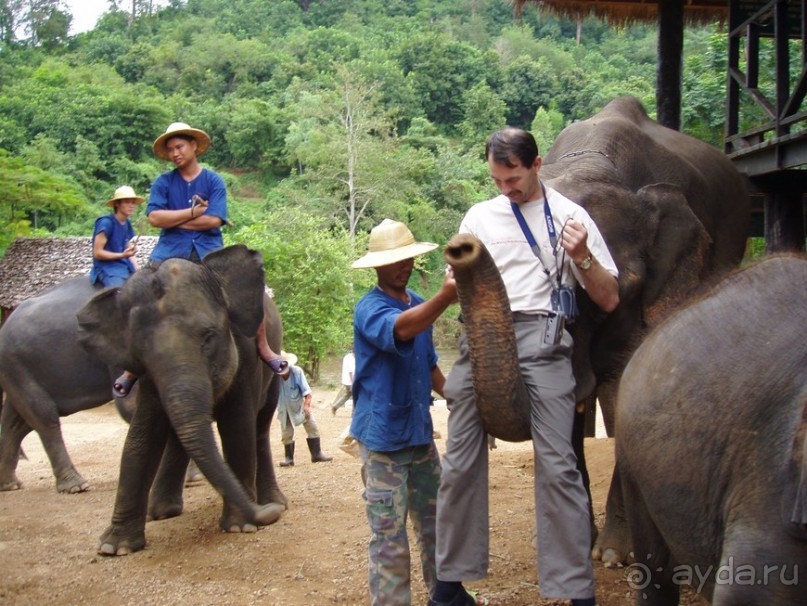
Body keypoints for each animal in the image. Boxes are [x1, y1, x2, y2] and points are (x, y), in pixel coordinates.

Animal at [73, 246, 288, 556]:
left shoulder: (246, 356)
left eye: (208, 337)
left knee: (259, 427)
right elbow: (141, 438)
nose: (269, 514)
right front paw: (114, 548)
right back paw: (161, 512)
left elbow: (237, 427)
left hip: (272, 368)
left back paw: (275, 501)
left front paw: (240, 527)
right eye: (138, 353)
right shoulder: (150, 380)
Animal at [442, 96, 752, 564]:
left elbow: (624, 390)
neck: (592, 163)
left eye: (623, 287)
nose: (461, 246)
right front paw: (575, 539)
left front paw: (612, 555)